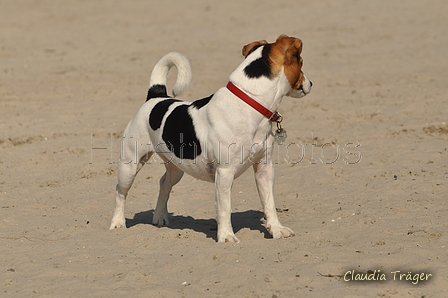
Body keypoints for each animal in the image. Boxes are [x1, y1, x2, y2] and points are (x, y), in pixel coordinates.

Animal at [108, 33, 312, 242]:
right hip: (129, 166)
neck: (249, 102)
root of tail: (155, 97)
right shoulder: (225, 172)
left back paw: (160, 217)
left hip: (176, 168)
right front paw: (226, 236)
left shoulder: (265, 167)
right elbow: (224, 208)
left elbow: (269, 203)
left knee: (163, 184)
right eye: (301, 62)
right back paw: (117, 223)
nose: (311, 84)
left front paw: (277, 230)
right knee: (120, 192)